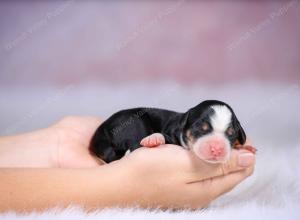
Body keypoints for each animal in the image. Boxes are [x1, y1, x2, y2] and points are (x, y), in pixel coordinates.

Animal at [89, 99, 251, 163]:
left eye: (230, 133)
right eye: (200, 128)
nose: (217, 149)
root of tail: (100, 133)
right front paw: (153, 139)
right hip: (135, 124)